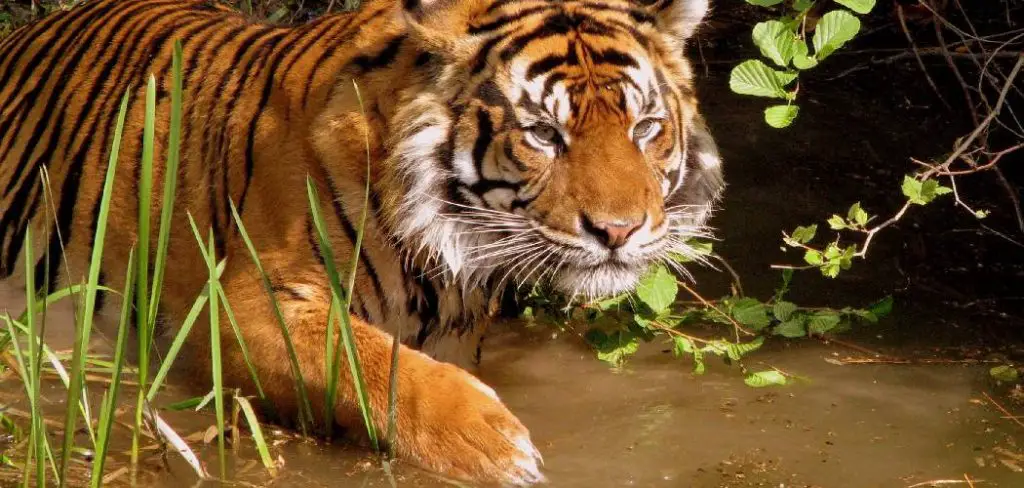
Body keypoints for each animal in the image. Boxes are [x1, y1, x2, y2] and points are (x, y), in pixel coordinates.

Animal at [0, 0, 723, 484]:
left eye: (646, 127)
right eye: (544, 134)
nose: (619, 230)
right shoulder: (239, 303)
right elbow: (376, 364)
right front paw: (499, 447)